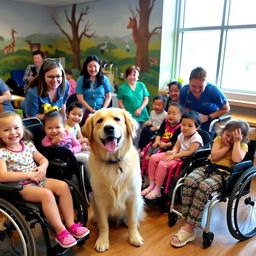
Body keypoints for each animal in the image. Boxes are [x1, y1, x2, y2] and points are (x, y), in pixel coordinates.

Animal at [83, 107, 145, 252]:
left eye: (117, 119)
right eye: (99, 121)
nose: (109, 128)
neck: (114, 163)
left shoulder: (133, 196)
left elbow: (132, 220)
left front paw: (134, 237)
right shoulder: (100, 198)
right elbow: (104, 225)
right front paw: (102, 241)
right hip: (93, 201)